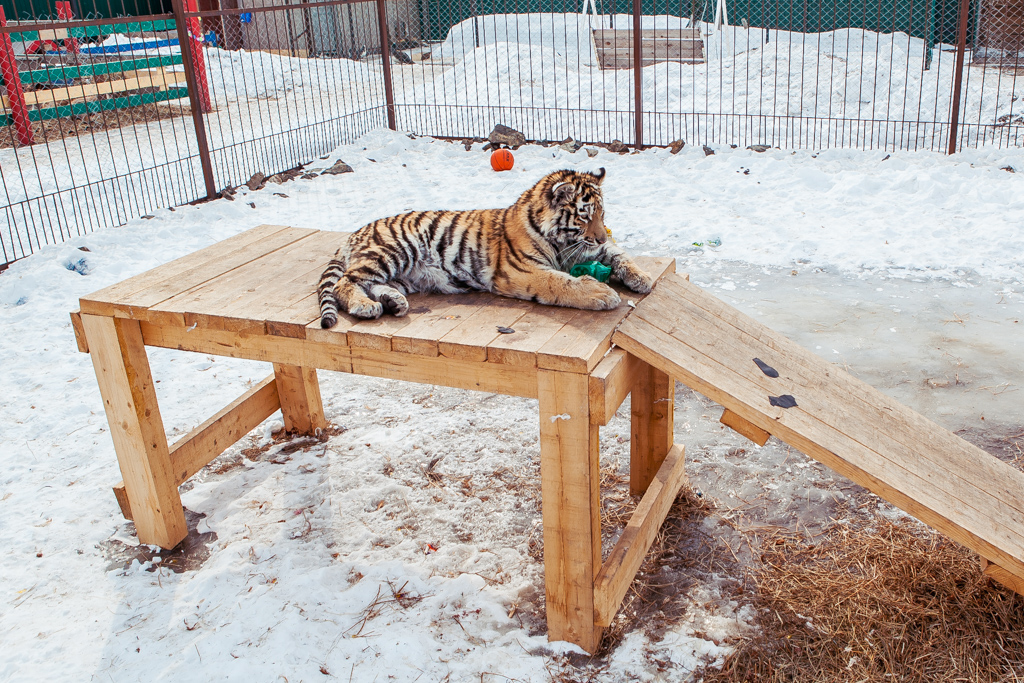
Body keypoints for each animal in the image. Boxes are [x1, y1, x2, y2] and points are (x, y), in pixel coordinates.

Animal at [317, 167, 653, 328]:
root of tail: (354, 233)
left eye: (602, 214)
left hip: (403, 274)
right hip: (394, 250)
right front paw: (601, 294)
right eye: (584, 215)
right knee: (344, 283)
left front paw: (643, 277)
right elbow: (561, 282)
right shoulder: (524, 270)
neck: (561, 239)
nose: (600, 236)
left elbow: (619, 254)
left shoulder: (587, 250)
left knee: (370, 283)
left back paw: (393, 302)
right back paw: (365, 306)